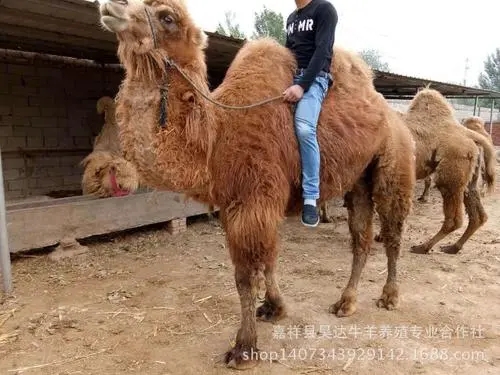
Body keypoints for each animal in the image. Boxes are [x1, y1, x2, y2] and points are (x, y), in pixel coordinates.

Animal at [96, 0, 414, 370]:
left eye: (167, 17)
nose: (111, 6)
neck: (217, 135)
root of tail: (394, 115)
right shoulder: (241, 204)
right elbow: (268, 259)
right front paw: (274, 308)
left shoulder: (254, 199)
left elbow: (245, 275)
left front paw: (244, 348)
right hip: (359, 180)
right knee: (361, 239)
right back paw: (345, 302)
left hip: (394, 165)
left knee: (392, 233)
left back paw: (389, 296)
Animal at [376, 89, 494, 256]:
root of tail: (471, 135)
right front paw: (381, 236)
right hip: (470, 174)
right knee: (478, 215)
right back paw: (453, 247)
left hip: (451, 174)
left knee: (454, 219)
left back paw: (423, 247)